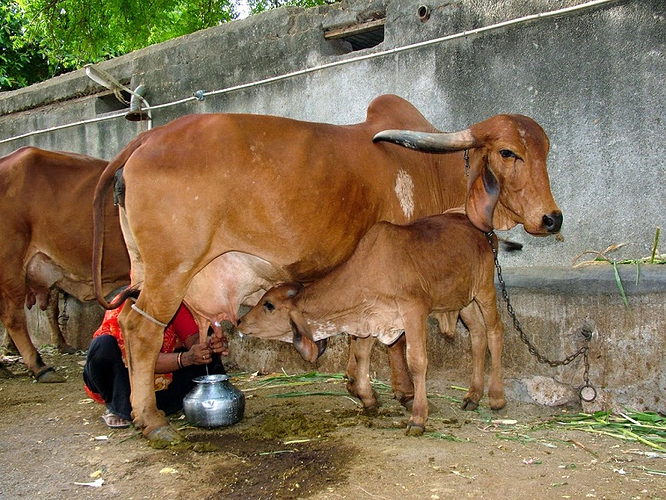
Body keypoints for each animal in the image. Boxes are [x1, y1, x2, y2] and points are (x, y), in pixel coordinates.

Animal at [236, 211, 500, 434]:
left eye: (268, 305)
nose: (240, 320)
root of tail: (485, 232)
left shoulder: (414, 311)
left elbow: (417, 362)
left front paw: (418, 417)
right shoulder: (371, 321)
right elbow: (362, 355)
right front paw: (369, 399)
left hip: (485, 289)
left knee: (495, 332)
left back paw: (496, 398)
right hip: (464, 300)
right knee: (477, 335)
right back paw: (472, 396)